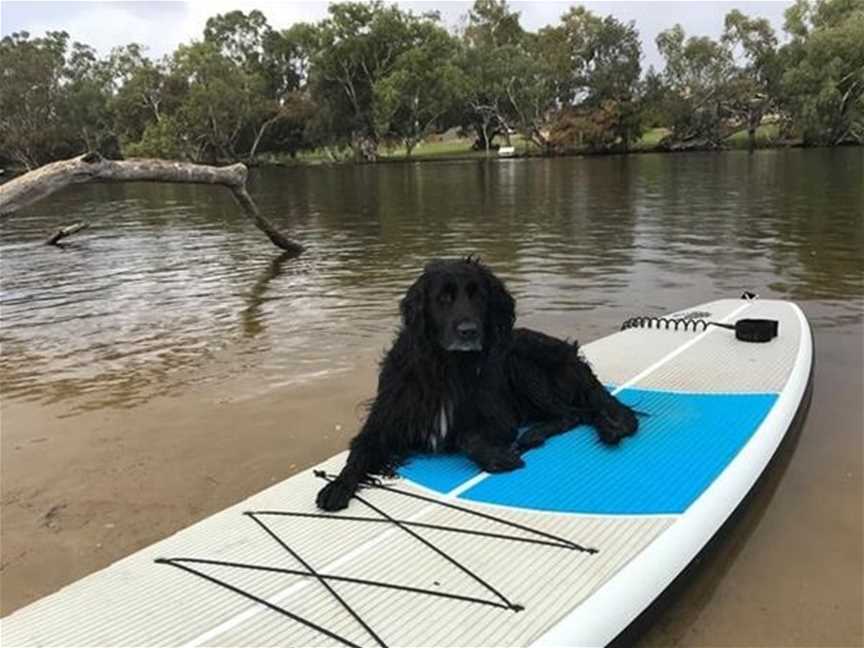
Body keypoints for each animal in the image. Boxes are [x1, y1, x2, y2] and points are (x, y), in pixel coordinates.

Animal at [316, 258, 636, 512]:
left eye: (479, 296)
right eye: (443, 298)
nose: (468, 331)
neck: (446, 366)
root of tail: (571, 354)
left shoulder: (499, 420)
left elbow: (465, 436)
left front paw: (497, 457)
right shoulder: (385, 420)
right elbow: (359, 452)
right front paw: (337, 487)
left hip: (520, 363)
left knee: (578, 413)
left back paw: (544, 434)